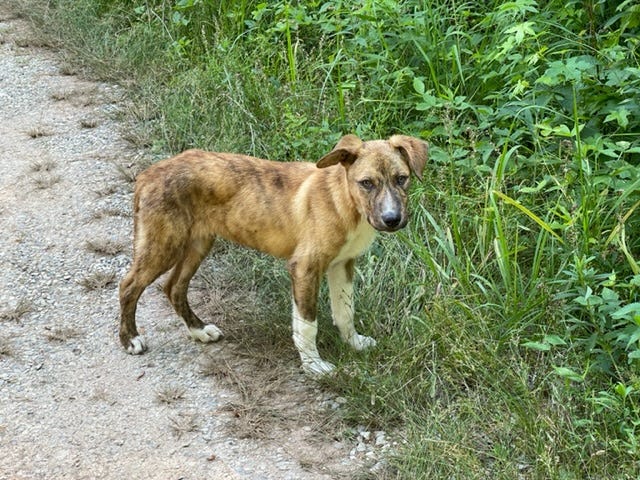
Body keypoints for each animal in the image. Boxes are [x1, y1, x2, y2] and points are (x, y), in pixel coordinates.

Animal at [119, 134, 430, 376]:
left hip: (198, 244)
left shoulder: (342, 264)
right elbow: (307, 325)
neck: (345, 202)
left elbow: (345, 311)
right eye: (366, 183)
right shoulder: (304, 268)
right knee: (129, 286)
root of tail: (149, 173)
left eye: (401, 179)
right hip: (163, 245)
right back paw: (130, 339)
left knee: (174, 287)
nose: (392, 219)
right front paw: (314, 366)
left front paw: (353, 343)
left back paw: (198, 330)